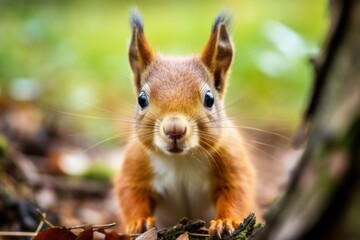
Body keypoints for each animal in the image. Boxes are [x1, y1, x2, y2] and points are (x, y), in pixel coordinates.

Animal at [116, 9, 262, 238]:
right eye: (141, 99)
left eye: (209, 99)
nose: (174, 129)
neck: (181, 161)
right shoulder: (136, 161)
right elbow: (129, 190)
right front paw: (139, 221)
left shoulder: (232, 158)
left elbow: (238, 190)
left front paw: (225, 222)